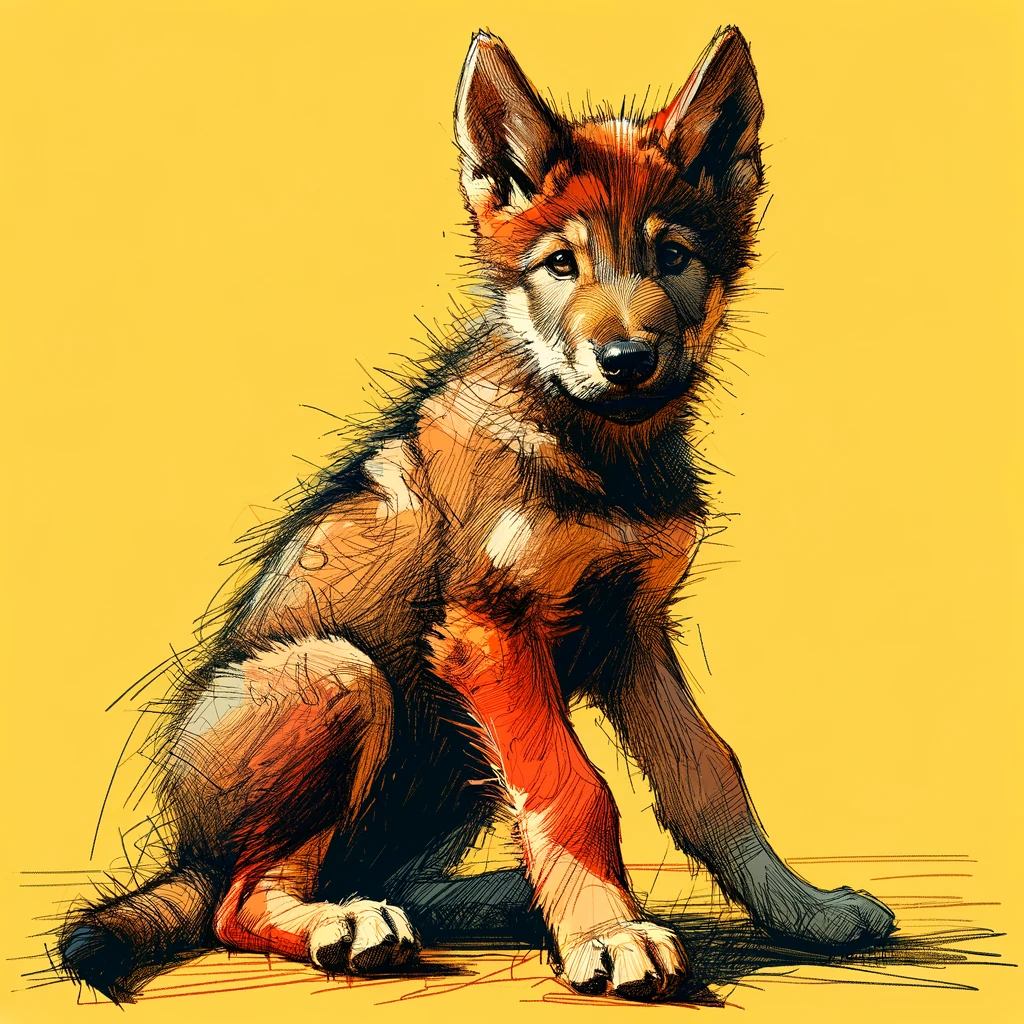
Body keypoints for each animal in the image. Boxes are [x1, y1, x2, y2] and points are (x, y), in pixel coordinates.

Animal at [58, 26, 896, 1002]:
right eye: (561, 264)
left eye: (673, 257)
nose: (626, 360)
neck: (595, 450)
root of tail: (186, 855)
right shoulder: (488, 632)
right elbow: (572, 789)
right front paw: (610, 933)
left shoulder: (633, 633)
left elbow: (708, 778)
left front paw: (801, 908)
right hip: (344, 674)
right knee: (241, 899)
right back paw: (348, 924)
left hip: (448, 752)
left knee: (374, 868)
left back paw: (491, 897)